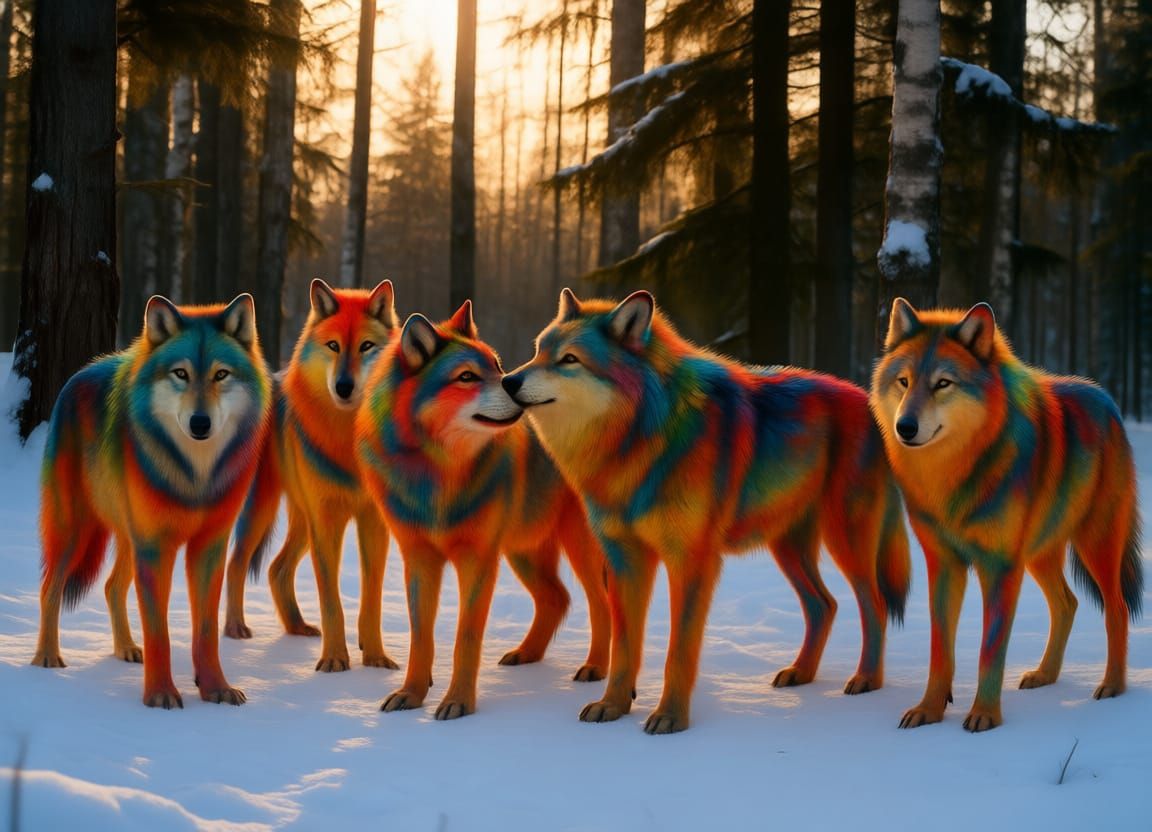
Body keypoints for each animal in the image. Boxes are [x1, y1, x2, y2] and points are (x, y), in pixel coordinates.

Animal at [33, 294, 271, 709]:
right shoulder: (156, 548)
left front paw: (215, 688)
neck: (196, 476)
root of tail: (80, 373)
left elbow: (206, 630)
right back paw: (47, 657)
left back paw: (127, 649)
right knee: (50, 588)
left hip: (129, 542)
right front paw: (160, 694)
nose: (200, 424)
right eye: (181, 374)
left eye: (221, 375)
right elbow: (159, 630)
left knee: (112, 587)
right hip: (76, 531)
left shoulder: (210, 547)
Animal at [223, 279, 401, 672]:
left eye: (366, 346)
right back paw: (235, 630)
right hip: (264, 510)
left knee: (276, 569)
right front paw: (334, 660)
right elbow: (331, 601)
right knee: (236, 563)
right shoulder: (327, 522)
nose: (344, 386)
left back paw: (297, 627)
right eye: (333, 346)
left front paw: (375, 657)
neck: (348, 441)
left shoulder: (373, 522)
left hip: (302, 521)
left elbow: (373, 599)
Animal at [355, 301, 611, 720]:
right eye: (467, 377)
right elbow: (420, 637)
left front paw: (457, 702)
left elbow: (466, 638)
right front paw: (411, 694)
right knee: (556, 598)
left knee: (602, 606)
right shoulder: (419, 560)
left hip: (579, 552)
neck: (439, 473)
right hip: (523, 552)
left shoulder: (478, 561)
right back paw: (526, 654)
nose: (515, 386)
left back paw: (595, 668)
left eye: (497, 366)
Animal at [503, 288, 911, 733]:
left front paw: (669, 717)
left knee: (873, 605)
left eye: (569, 359)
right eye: (538, 351)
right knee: (825, 605)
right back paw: (800, 674)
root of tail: (869, 402)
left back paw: (867, 680)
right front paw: (612, 706)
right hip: (787, 549)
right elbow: (624, 647)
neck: (638, 439)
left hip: (845, 542)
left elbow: (678, 651)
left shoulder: (692, 561)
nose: (507, 380)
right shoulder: (627, 560)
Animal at [871, 299, 1143, 732]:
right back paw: (1045, 675)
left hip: (1094, 546)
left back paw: (1112, 686)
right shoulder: (943, 563)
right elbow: (939, 648)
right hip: (1038, 555)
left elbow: (990, 651)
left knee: (1115, 609)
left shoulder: (999, 567)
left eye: (943, 383)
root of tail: (1107, 399)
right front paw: (929, 710)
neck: (954, 475)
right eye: (904, 381)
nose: (905, 427)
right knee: (1067, 603)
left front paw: (984, 716)